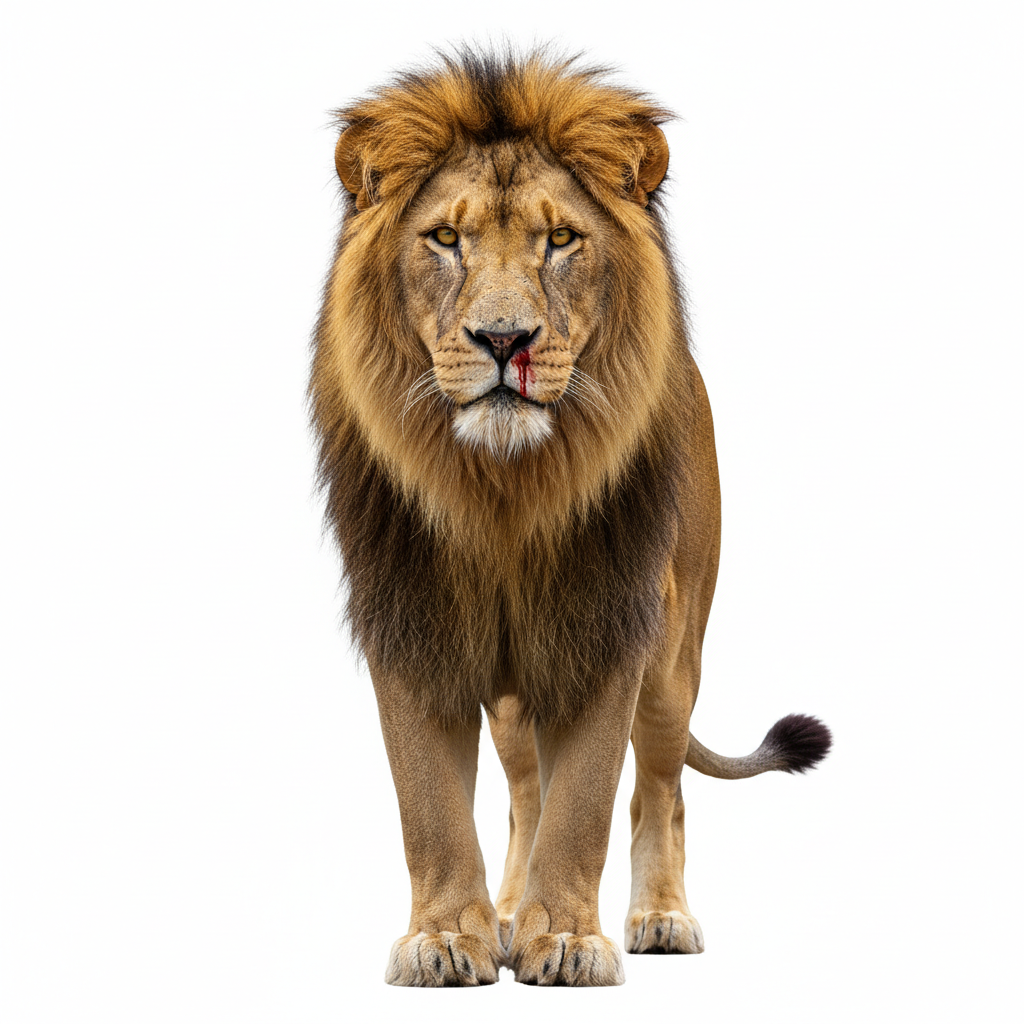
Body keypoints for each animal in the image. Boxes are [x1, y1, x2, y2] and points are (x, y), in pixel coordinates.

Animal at [310, 50, 831, 987]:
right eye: (445, 239)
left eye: (560, 241)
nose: (503, 340)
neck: (503, 492)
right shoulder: (410, 617)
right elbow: (429, 806)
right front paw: (449, 937)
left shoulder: (607, 617)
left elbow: (586, 800)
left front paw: (568, 940)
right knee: (523, 792)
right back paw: (509, 911)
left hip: (673, 659)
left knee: (660, 790)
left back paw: (659, 917)